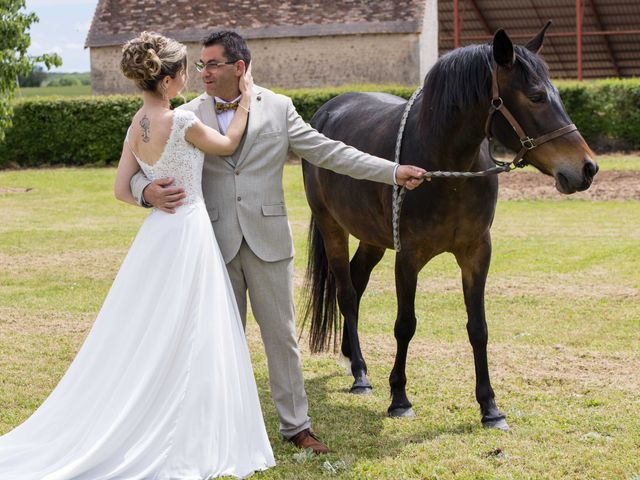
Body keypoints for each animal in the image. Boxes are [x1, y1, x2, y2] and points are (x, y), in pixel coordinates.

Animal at [302, 23, 600, 432]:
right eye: (537, 96)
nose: (587, 168)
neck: (447, 168)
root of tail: (326, 111)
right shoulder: (408, 257)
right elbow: (405, 324)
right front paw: (399, 398)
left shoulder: (476, 253)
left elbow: (478, 328)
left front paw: (490, 406)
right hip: (332, 227)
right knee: (346, 293)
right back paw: (360, 372)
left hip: (372, 238)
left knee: (357, 283)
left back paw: (351, 357)